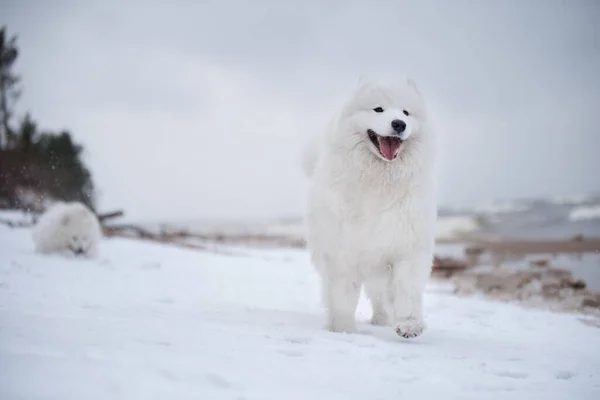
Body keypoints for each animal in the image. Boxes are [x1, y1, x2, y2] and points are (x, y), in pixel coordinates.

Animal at [304, 76, 436, 338]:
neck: (380, 181)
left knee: (381, 297)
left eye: (406, 112)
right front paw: (344, 330)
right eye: (378, 109)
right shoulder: (343, 252)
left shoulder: (408, 246)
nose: (399, 124)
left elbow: (407, 289)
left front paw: (409, 324)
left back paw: (382, 321)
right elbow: (343, 296)